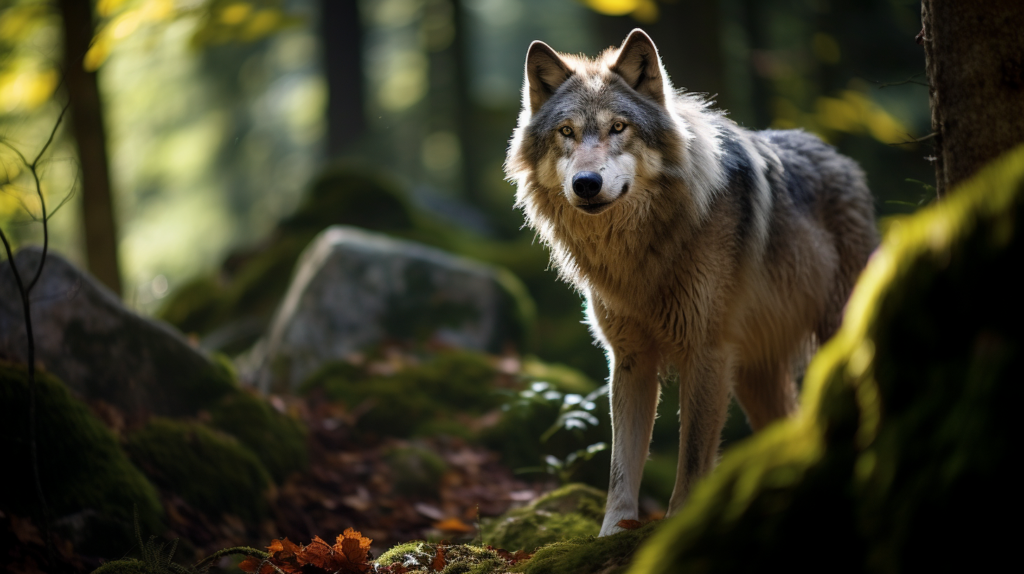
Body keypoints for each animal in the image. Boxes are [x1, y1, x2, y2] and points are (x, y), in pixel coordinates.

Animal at [504, 29, 878, 536]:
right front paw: (611, 533)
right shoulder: (631, 359)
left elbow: (694, 458)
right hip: (754, 379)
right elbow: (622, 465)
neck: (642, 254)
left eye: (619, 127)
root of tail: (842, 159)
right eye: (567, 132)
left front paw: (679, 525)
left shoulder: (705, 352)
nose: (586, 183)